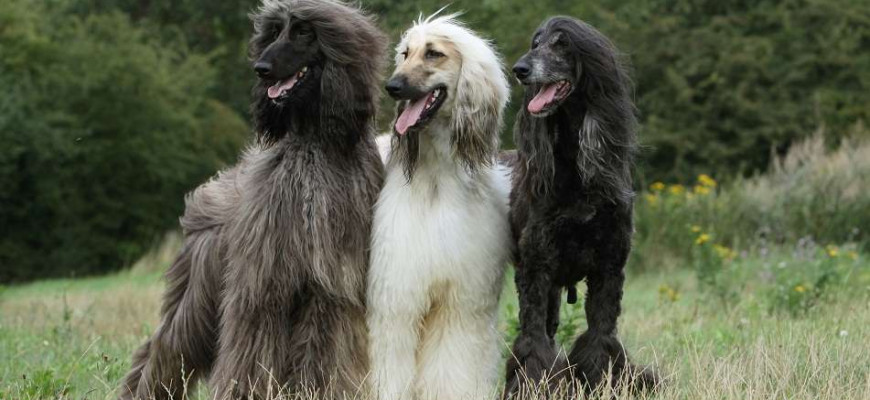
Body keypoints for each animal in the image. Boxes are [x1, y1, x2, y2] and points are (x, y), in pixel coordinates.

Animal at [117, 1, 386, 398]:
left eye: (303, 32)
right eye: (273, 32)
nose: (261, 68)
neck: (313, 145)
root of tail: (214, 189)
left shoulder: (329, 287)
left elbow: (322, 349)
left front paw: (316, 390)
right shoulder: (261, 283)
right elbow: (252, 349)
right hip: (199, 289)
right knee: (165, 346)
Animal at [366, 14, 512, 400]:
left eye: (434, 53)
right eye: (405, 53)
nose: (393, 87)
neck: (436, 181)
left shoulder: (461, 299)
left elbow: (453, 359)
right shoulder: (397, 291)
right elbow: (391, 360)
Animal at [503, 16, 657, 396]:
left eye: (562, 44)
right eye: (535, 42)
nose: (520, 69)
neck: (575, 167)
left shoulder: (608, 265)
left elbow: (601, 335)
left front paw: (605, 383)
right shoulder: (535, 267)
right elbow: (533, 341)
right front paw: (534, 385)